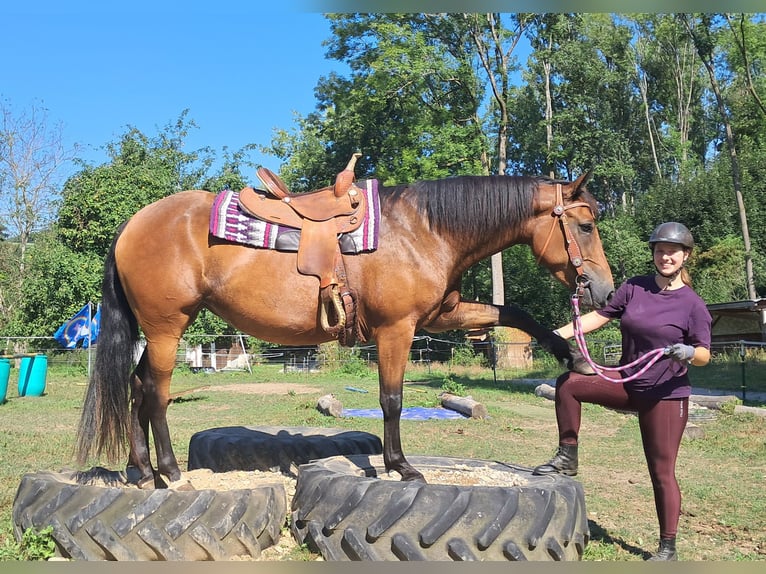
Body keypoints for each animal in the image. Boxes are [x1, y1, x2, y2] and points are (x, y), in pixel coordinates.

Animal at [76, 171, 614, 488]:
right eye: (586, 226)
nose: (605, 291)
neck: (425, 229)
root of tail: (132, 225)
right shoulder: (397, 329)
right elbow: (392, 400)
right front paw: (401, 466)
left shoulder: (441, 314)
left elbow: (516, 314)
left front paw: (574, 356)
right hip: (167, 328)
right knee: (155, 393)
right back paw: (169, 473)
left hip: (159, 331)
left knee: (136, 387)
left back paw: (142, 471)